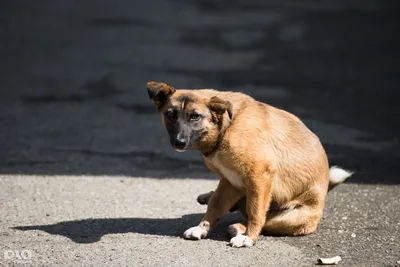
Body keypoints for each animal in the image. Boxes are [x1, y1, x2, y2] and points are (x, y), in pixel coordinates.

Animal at [146, 81, 350, 249]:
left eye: (195, 116)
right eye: (170, 115)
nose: (178, 142)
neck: (226, 127)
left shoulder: (260, 176)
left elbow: (256, 211)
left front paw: (249, 237)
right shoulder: (230, 181)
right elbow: (215, 205)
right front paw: (201, 228)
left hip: (288, 218)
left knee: (265, 221)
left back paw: (240, 229)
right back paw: (211, 199)